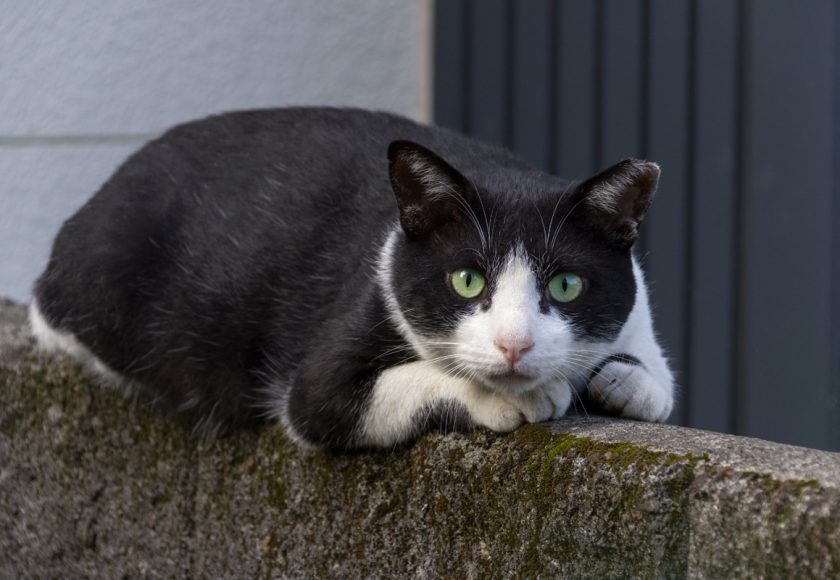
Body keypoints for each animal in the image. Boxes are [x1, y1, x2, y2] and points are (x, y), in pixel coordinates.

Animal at [27, 106, 676, 448]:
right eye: (466, 280)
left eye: (566, 285)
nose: (514, 345)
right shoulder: (328, 366)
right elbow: (346, 397)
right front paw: (515, 396)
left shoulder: (638, 316)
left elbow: (659, 384)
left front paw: (622, 381)